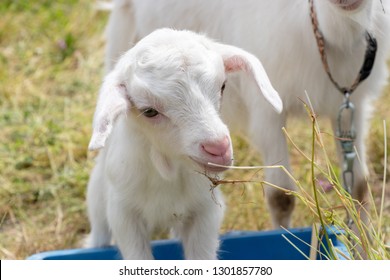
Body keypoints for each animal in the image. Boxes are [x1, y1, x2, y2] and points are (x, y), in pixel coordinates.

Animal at [85, 28, 282, 260]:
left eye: (223, 86)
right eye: (149, 111)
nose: (218, 148)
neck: (168, 174)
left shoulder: (206, 212)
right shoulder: (123, 215)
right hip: (97, 195)